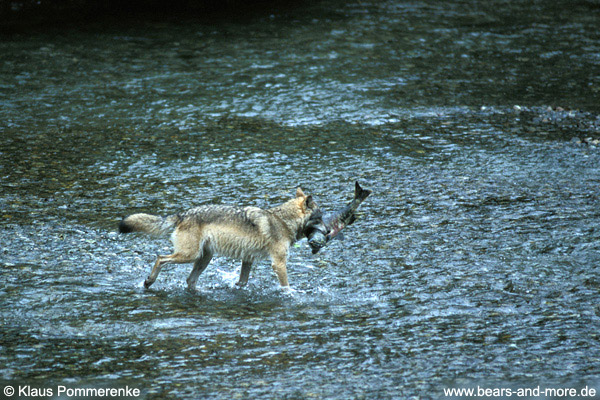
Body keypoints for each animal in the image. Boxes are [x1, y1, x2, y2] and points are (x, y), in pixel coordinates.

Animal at [116, 188, 318, 290]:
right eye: (321, 216)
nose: (325, 233)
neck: (283, 220)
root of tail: (182, 215)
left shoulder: (247, 259)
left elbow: (242, 282)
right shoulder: (278, 263)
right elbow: (286, 286)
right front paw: (292, 295)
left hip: (203, 258)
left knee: (189, 280)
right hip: (189, 256)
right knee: (160, 258)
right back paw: (149, 281)